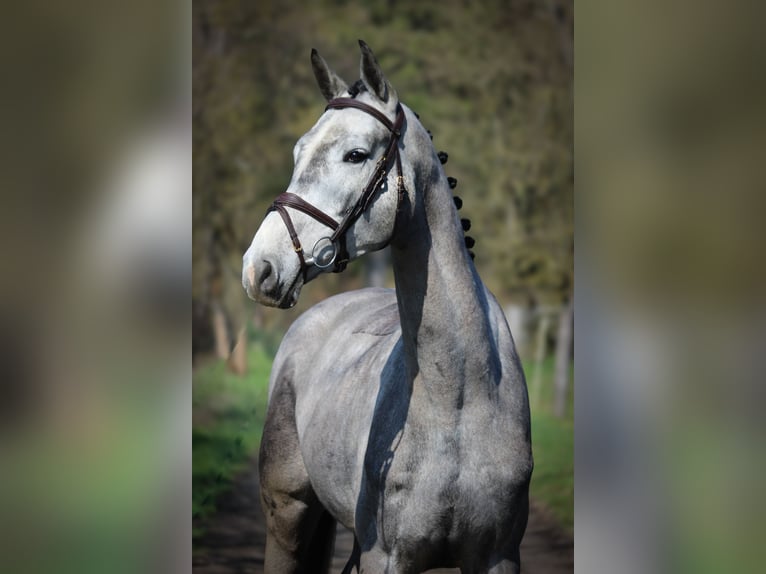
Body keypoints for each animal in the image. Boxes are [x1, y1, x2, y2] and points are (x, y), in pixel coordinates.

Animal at [242, 40, 532, 574]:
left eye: (356, 154)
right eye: (298, 152)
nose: (259, 269)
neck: (458, 397)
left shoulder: (499, 556)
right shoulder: (385, 558)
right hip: (287, 514)